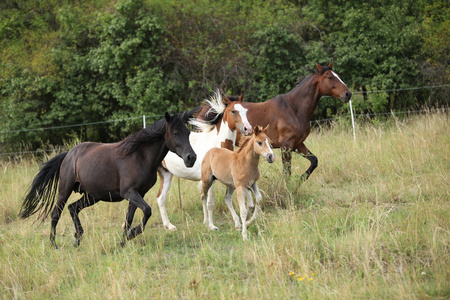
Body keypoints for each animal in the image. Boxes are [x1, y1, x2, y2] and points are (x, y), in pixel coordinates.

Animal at [18, 110, 197, 248]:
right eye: (175, 133)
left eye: (188, 133)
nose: (191, 158)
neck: (139, 157)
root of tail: (69, 154)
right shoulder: (129, 192)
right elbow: (147, 211)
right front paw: (131, 234)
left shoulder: (139, 194)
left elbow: (130, 218)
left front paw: (124, 240)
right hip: (65, 190)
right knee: (56, 213)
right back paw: (54, 244)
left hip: (92, 196)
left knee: (73, 208)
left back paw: (77, 238)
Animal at [156, 89, 251, 230]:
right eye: (233, 111)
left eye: (245, 110)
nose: (248, 129)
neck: (215, 145)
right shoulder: (210, 179)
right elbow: (210, 202)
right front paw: (211, 226)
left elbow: (222, 198)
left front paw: (236, 223)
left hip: (166, 174)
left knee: (160, 198)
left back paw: (169, 226)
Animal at [200, 59, 352, 179]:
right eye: (329, 77)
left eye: (338, 75)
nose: (347, 94)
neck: (294, 109)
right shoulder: (286, 146)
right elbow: (287, 172)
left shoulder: (298, 144)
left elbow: (314, 160)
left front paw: (300, 180)